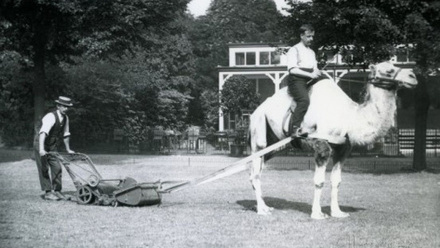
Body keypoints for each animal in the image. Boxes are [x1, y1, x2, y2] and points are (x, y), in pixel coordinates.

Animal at [249, 62, 418, 219]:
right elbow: (319, 181)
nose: (413, 76)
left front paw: (337, 212)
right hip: (259, 135)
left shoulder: (342, 149)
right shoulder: (321, 145)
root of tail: (254, 113)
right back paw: (262, 210)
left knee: (255, 172)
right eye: (388, 70)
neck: (350, 117)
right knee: (255, 172)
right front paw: (317, 214)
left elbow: (336, 181)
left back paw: (265, 206)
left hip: (273, 146)